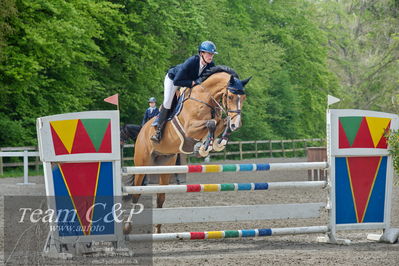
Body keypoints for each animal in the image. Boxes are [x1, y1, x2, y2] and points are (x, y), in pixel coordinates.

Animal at [130, 66, 252, 233]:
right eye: (230, 96)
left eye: (244, 98)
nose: (237, 125)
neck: (205, 98)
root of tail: (142, 130)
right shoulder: (190, 127)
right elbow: (212, 123)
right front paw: (204, 147)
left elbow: (221, 121)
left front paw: (217, 143)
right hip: (142, 164)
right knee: (136, 194)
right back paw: (127, 228)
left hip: (165, 164)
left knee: (161, 197)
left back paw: (158, 231)